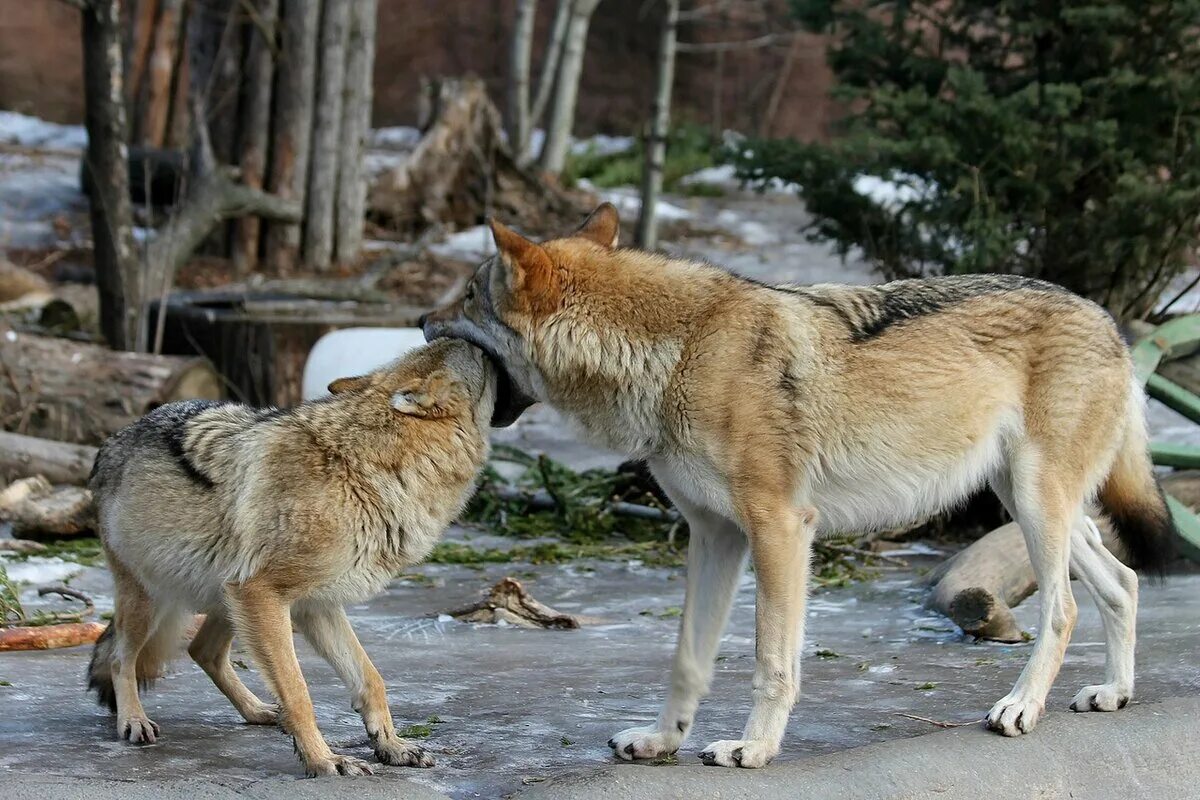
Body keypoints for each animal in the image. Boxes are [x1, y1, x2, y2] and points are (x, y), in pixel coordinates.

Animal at [84, 340, 513, 777]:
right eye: (482, 358)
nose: (487, 344)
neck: (361, 471)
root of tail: (113, 440)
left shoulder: (314, 604)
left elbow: (370, 678)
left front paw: (391, 745)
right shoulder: (266, 593)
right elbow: (298, 690)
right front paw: (324, 760)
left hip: (227, 596)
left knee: (202, 651)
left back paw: (257, 711)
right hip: (155, 600)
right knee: (121, 658)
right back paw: (134, 720)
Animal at [422, 205, 1171, 767]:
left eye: (467, 295)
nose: (421, 323)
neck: (678, 353)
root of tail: (1109, 322)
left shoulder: (779, 527)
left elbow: (770, 659)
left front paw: (752, 749)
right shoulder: (713, 535)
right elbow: (687, 659)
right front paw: (662, 741)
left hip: (1038, 506)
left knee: (1064, 610)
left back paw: (1020, 707)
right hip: (1032, 505)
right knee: (1124, 582)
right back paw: (1113, 692)